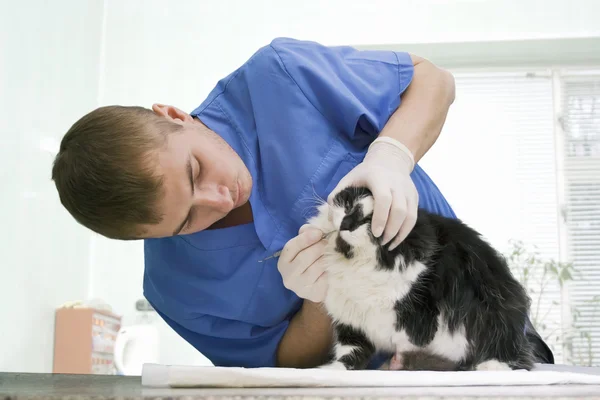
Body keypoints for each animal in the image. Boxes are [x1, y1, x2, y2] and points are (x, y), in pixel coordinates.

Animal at [308, 185, 536, 372]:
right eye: (348, 206)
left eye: (370, 223)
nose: (346, 223)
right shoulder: (351, 323)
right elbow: (349, 353)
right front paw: (332, 370)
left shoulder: (417, 313)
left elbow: (408, 333)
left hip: (498, 314)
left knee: (510, 355)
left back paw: (488, 366)